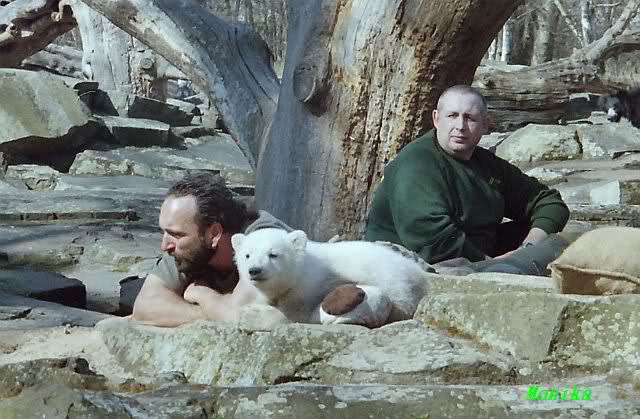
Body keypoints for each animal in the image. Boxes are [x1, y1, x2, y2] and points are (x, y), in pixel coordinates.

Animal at [231, 228, 431, 328]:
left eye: (273, 254)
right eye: (247, 255)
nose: (255, 270)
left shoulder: (309, 289)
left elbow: (296, 315)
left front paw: (251, 315)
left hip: (399, 291)